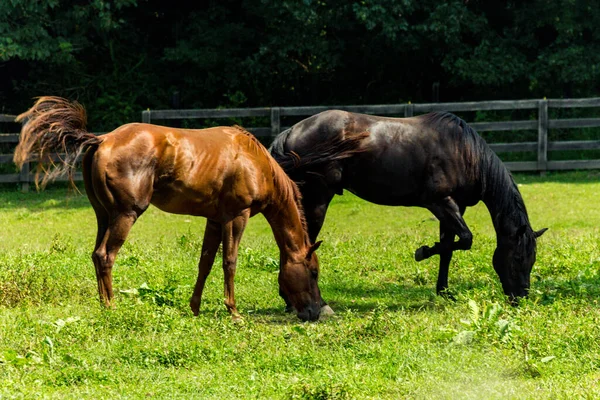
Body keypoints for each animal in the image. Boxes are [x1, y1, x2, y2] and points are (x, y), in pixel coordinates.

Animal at [12, 97, 324, 322]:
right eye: (313, 272)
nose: (314, 312)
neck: (254, 160)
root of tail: (102, 139)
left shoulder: (214, 220)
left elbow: (205, 263)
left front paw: (195, 307)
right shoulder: (237, 216)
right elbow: (230, 262)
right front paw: (233, 311)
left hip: (104, 216)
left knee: (95, 255)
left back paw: (103, 303)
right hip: (125, 215)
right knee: (105, 256)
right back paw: (111, 307)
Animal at [272, 108, 548, 308]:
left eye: (532, 259)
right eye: (518, 257)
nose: (520, 297)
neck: (464, 152)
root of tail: (291, 132)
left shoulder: (454, 208)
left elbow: (449, 248)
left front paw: (443, 290)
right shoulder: (440, 202)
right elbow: (465, 239)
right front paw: (422, 252)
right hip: (318, 201)